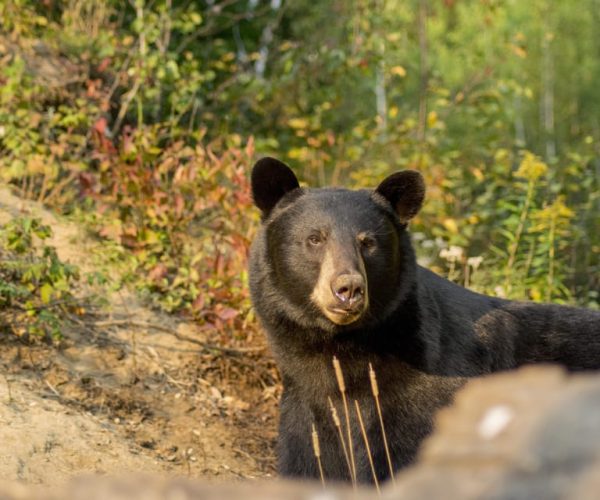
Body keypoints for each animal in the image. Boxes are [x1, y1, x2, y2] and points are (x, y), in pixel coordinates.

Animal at [247, 157, 600, 484]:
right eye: (314, 239)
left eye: (368, 242)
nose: (348, 289)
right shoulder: (306, 410)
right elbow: (309, 463)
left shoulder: (424, 400)